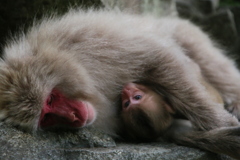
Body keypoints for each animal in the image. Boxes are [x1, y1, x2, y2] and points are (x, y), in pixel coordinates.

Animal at [0, 9, 240, 159]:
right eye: (46, 117)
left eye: (50, 98)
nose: (74, 118)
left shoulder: (90, 43)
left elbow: (159, 59)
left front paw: (219, 122)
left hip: (183, 31)